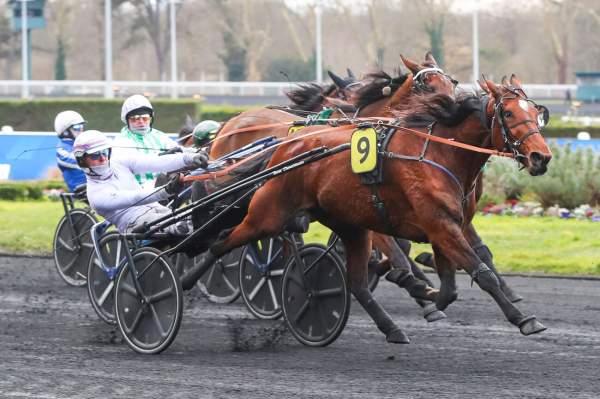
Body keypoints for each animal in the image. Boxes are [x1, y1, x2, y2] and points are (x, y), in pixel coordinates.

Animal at [183, 75, 552, 344]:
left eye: (536, 114)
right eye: (508, 114)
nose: (541, 157)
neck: (437, 153)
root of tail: (286, 147)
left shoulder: (445, 225)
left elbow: (451, 284)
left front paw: (427, 293)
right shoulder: (438, 225)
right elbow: (479, 272)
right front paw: (525, 320)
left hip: (349, 226)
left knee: (356, 283)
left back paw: (390, 327)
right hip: (270, 213)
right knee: (224, 241)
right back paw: (183, 280)